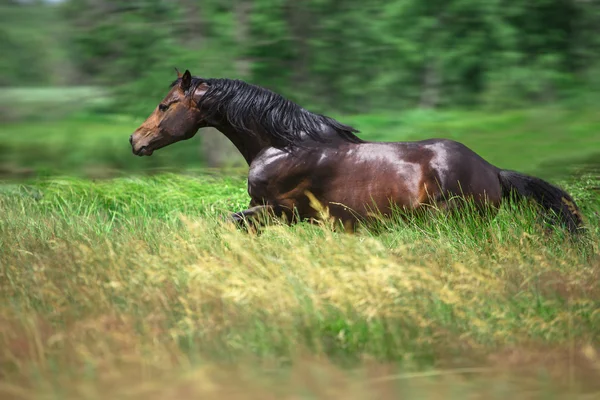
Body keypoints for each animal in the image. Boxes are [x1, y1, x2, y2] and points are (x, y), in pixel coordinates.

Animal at [129, 67, 584, 233]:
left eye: (166, 105)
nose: (136, 140)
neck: (283, 147)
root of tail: (492, 169)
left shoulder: (280, 211)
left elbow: (232, 222)